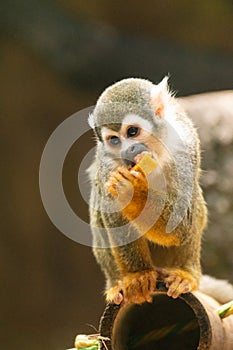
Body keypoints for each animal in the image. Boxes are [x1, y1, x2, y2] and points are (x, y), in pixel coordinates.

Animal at [88, 77, 208, 304]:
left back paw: (186, 273)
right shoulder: (108, 164)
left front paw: (132, 192)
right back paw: (116, 282)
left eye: (132, 132)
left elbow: (180, 221)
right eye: (114, 140)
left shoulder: (184, 145)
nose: (128, 150)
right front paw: (138, 275)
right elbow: (114, 216)